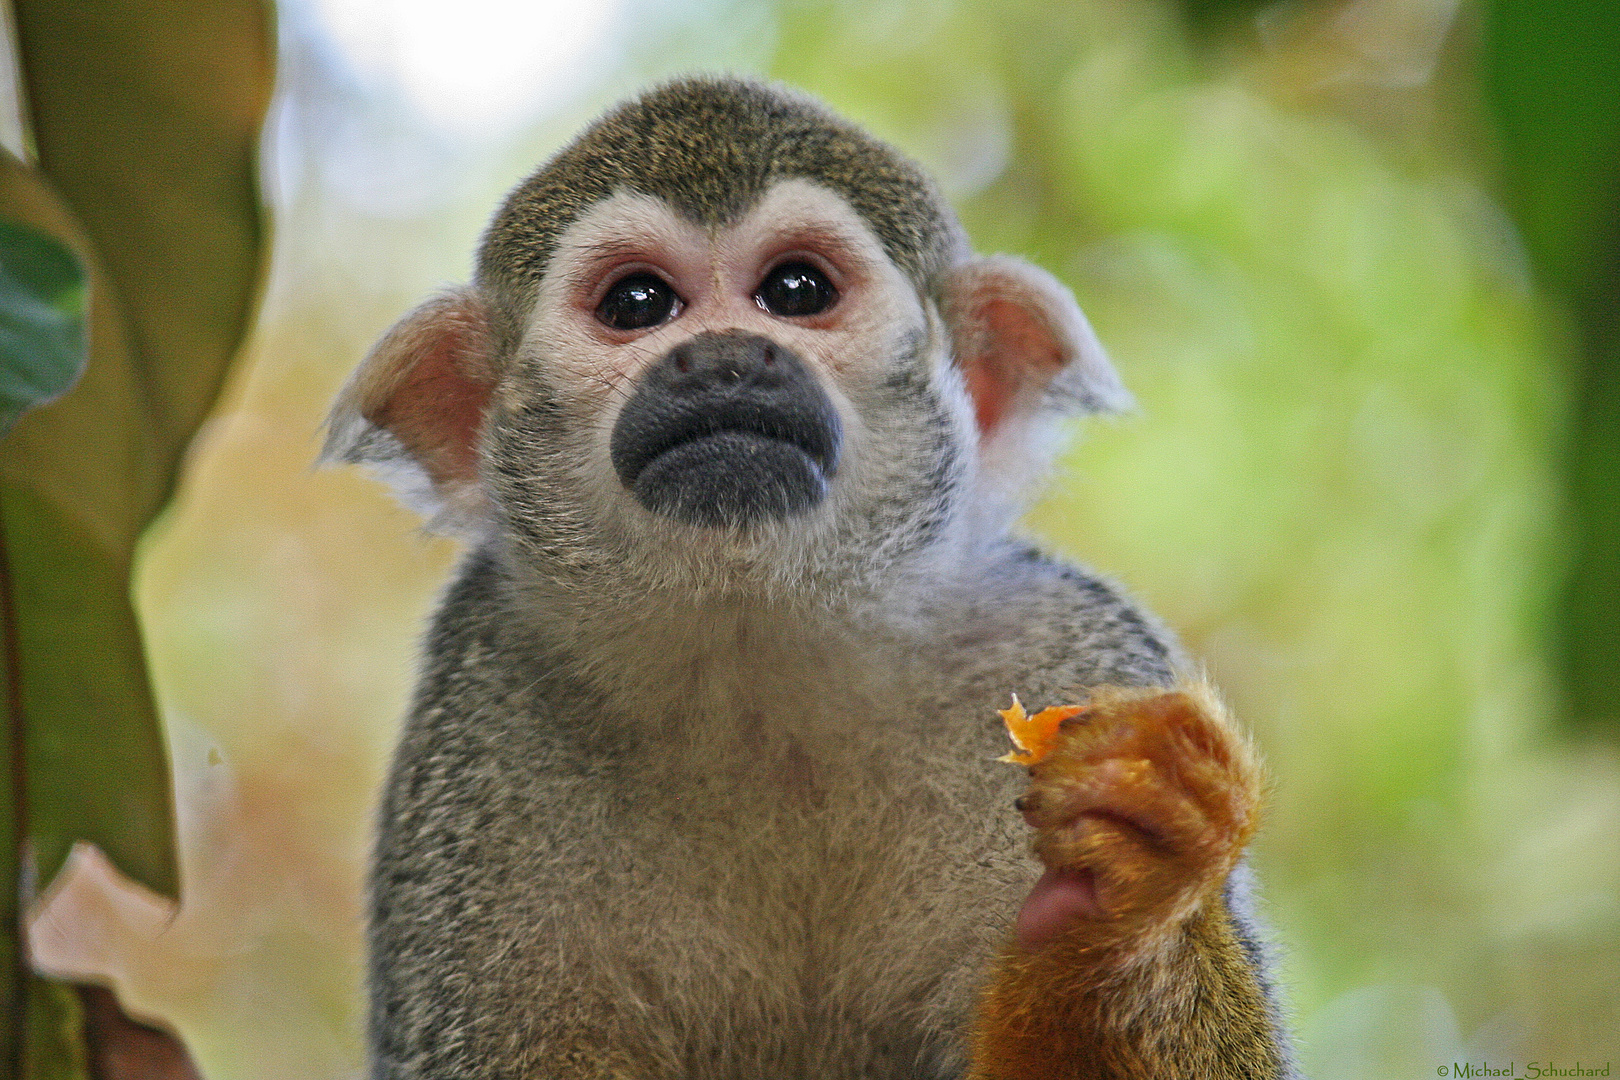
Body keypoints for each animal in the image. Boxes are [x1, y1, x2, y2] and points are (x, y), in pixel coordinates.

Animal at [322, 76, 1296, 1080]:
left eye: (797, 290)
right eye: (637, 303)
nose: (721, 359)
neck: (762, 647)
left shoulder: (1065, 641)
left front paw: (1131, 897)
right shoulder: (478, 717)